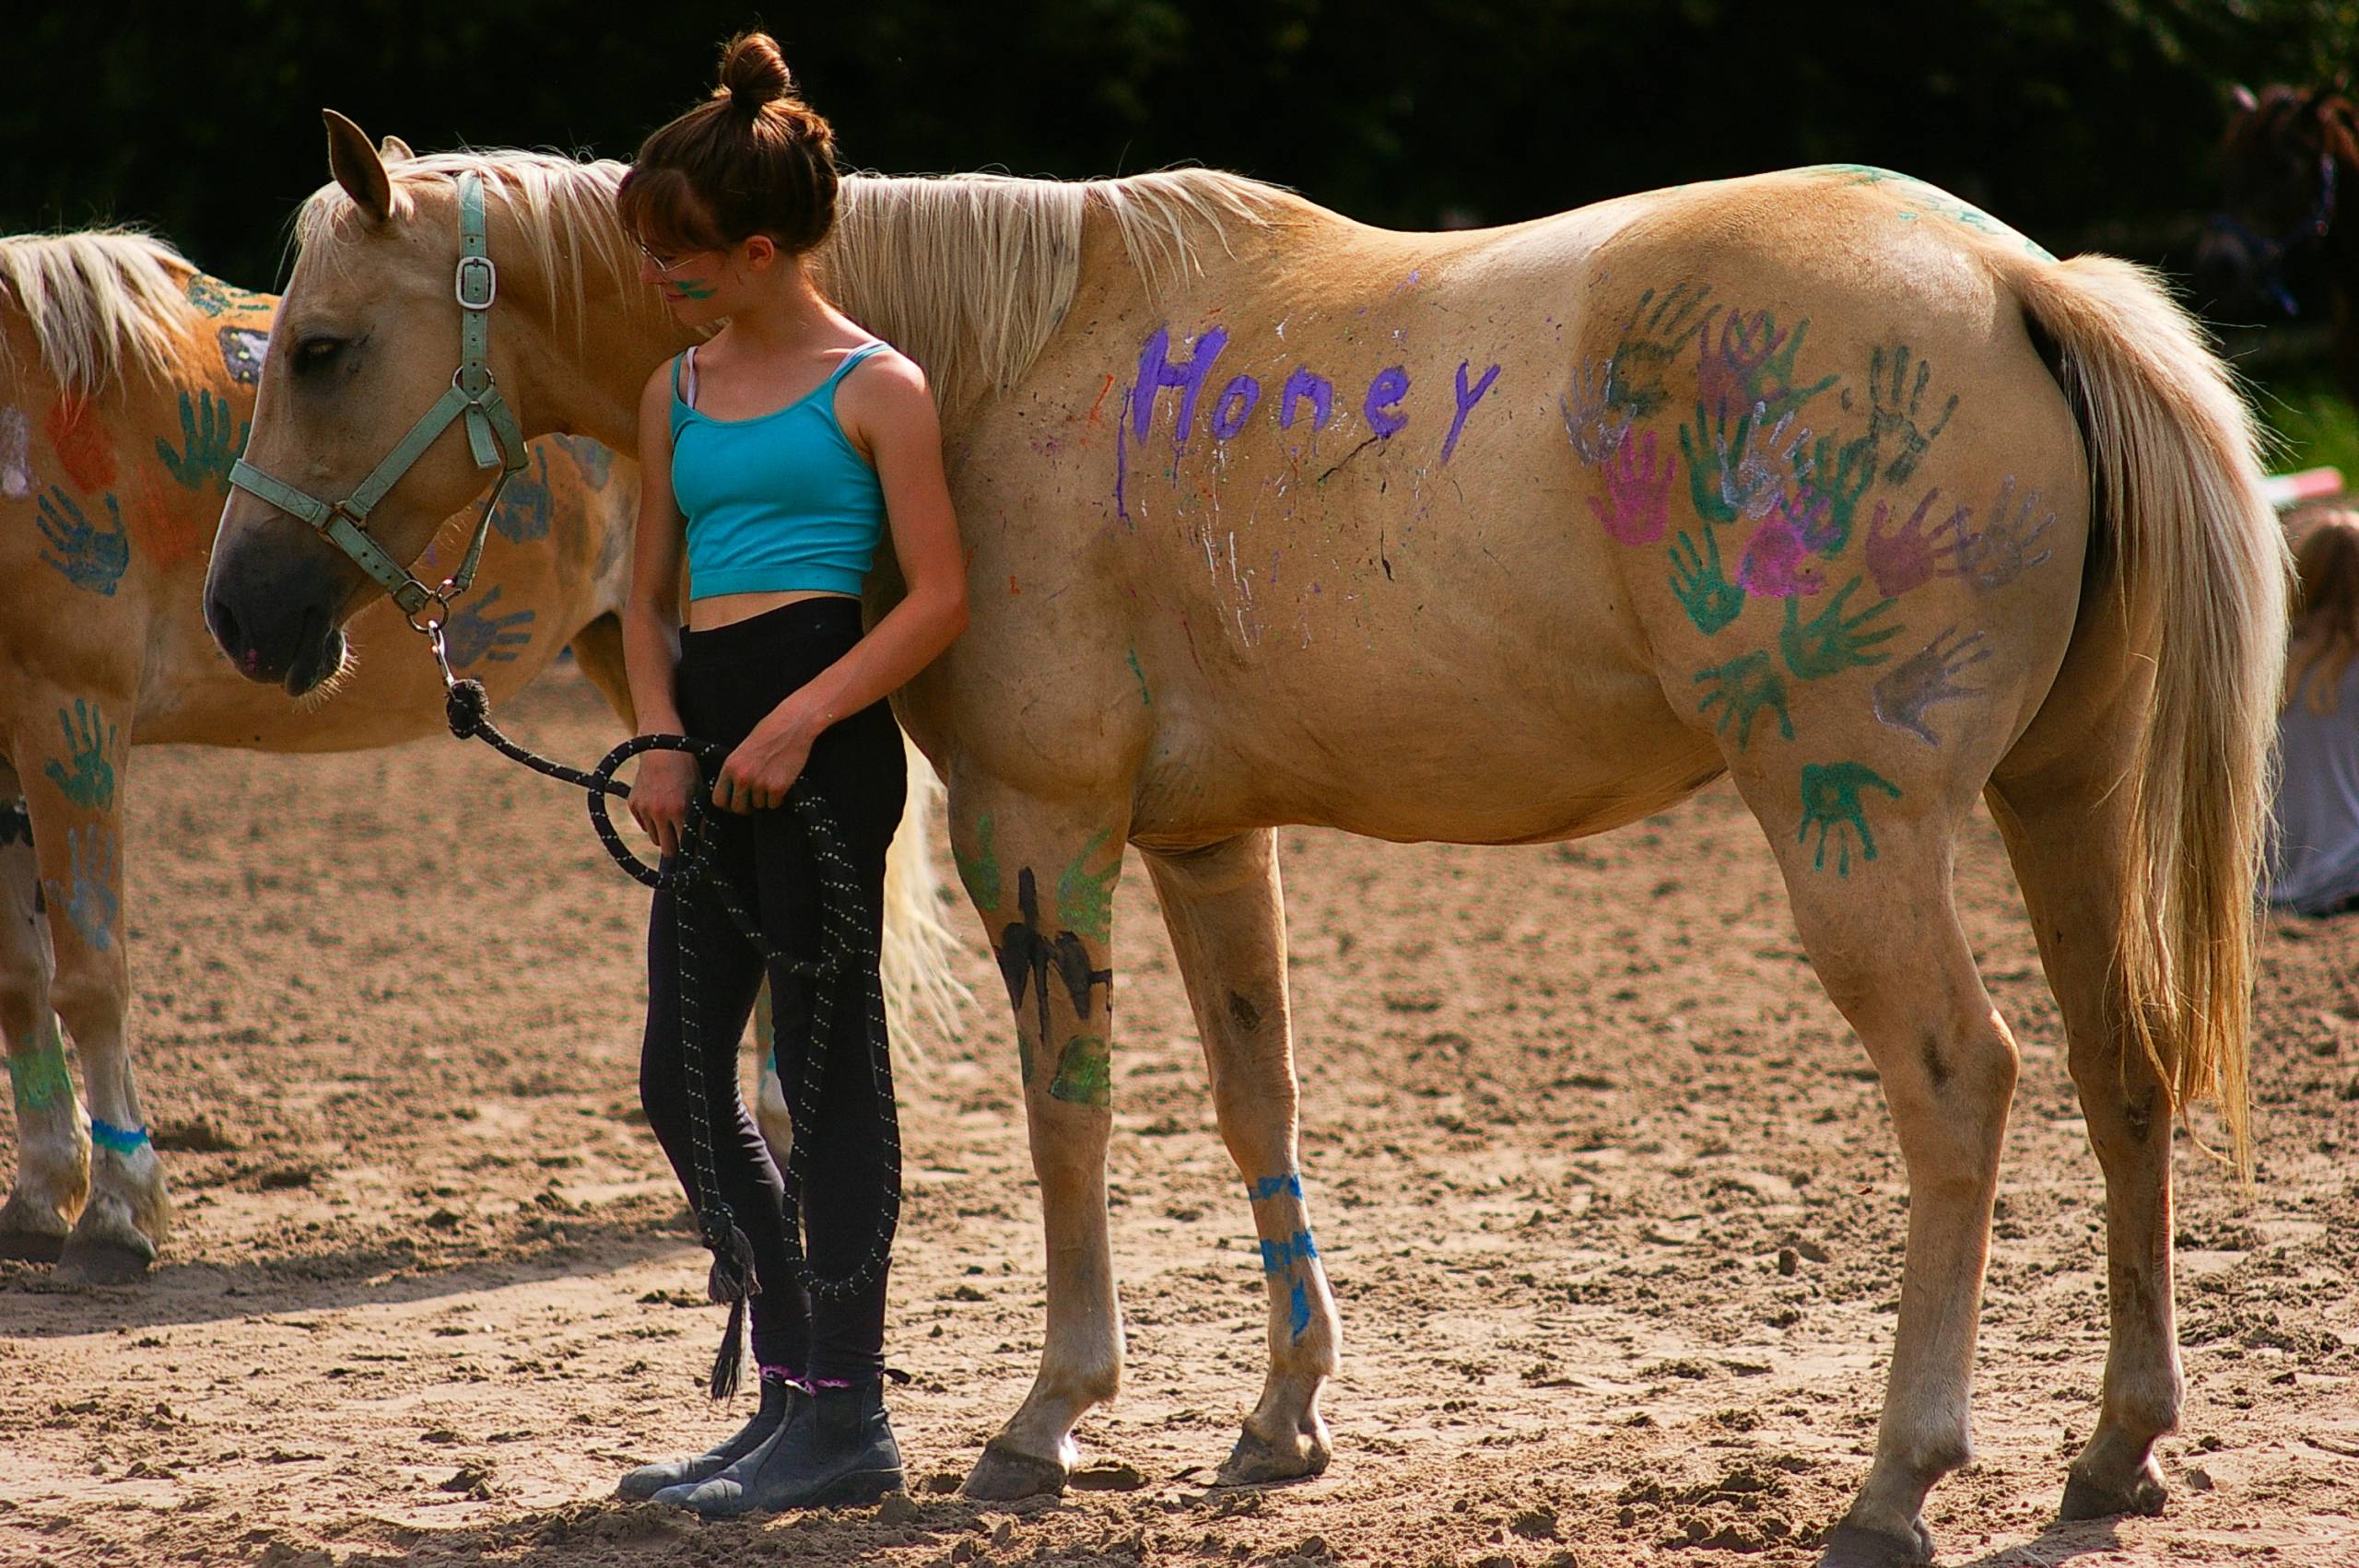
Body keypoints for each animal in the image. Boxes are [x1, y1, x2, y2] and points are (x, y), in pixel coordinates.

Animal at [0, 225, 960, 1285]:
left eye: (321, 353)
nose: (236, 610)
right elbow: (21, 981)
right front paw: (41, 1194)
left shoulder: (71, 708)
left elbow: (91, 974)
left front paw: (118, 1209)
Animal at [204, 125, 2287, 1567]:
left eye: (317, 350)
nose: (243, 612)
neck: (981, 367)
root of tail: (2017, 281)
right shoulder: (1211, 845)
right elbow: (1252, 1103)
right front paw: (1283, 1416)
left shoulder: (1043, 831)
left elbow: (1066, 1118)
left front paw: (1047, 1416)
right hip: (2058, 805)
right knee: (2119, 1074)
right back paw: (2117, 1443)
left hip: (1854, 832)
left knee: (1961, 1084)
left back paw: (1894, 1476)